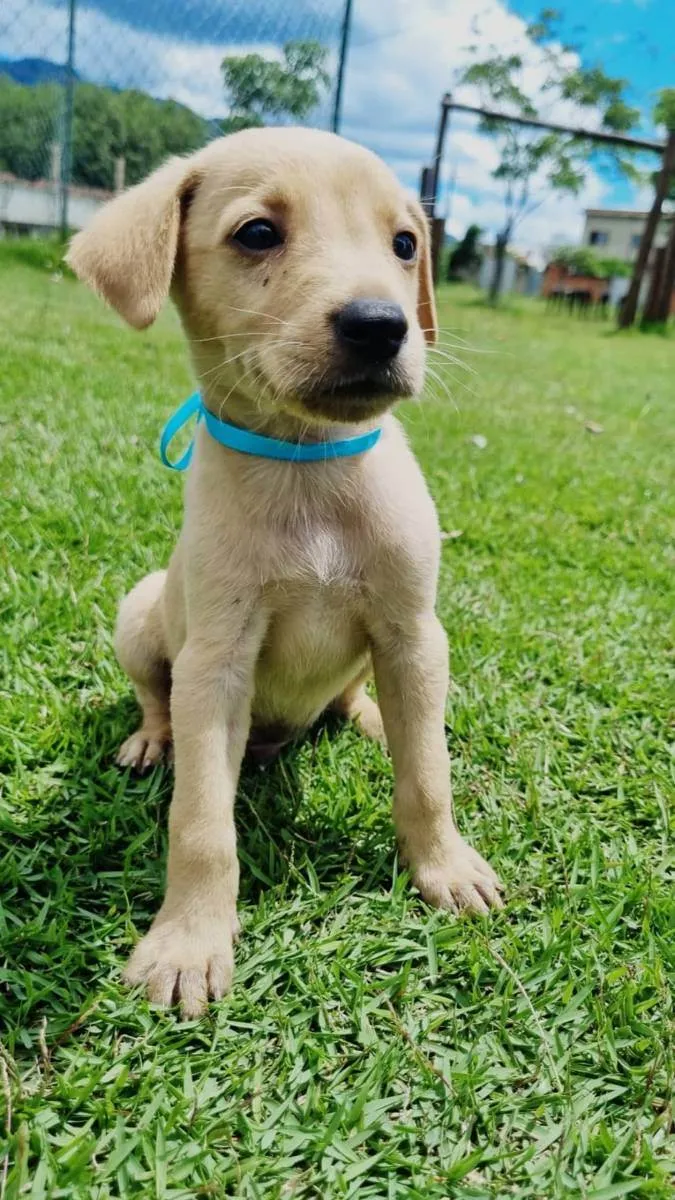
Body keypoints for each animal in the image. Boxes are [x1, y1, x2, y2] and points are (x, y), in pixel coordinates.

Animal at [66, 129, 499, 1012]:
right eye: (258, 233)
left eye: (405, 245)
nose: (381, 325)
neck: (310, 471)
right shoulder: (215, 664)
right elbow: (200, 823)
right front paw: (188, 942)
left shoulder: (414, 631)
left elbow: (428, 775)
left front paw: (444, 867)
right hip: (141, 611)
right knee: (152, 693)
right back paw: (149, 740)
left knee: (365, 699)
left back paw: (368, 717)